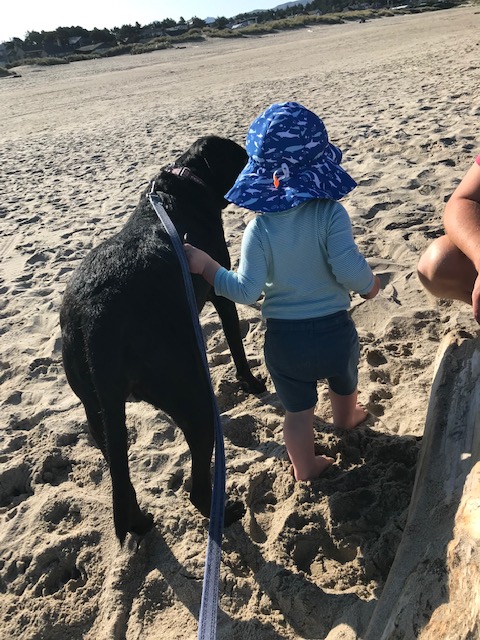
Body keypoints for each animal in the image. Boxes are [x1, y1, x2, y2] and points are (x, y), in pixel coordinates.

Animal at [60, 136, 265, 544]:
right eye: (243, 157)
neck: (183, 185)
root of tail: (94, 320)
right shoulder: (220, 292)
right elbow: (236, 345)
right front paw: (250, 383)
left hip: (98, 414)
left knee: (120, 477)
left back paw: (139, 523)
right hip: (192, 399)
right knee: (197, 488)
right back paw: (225, 514)